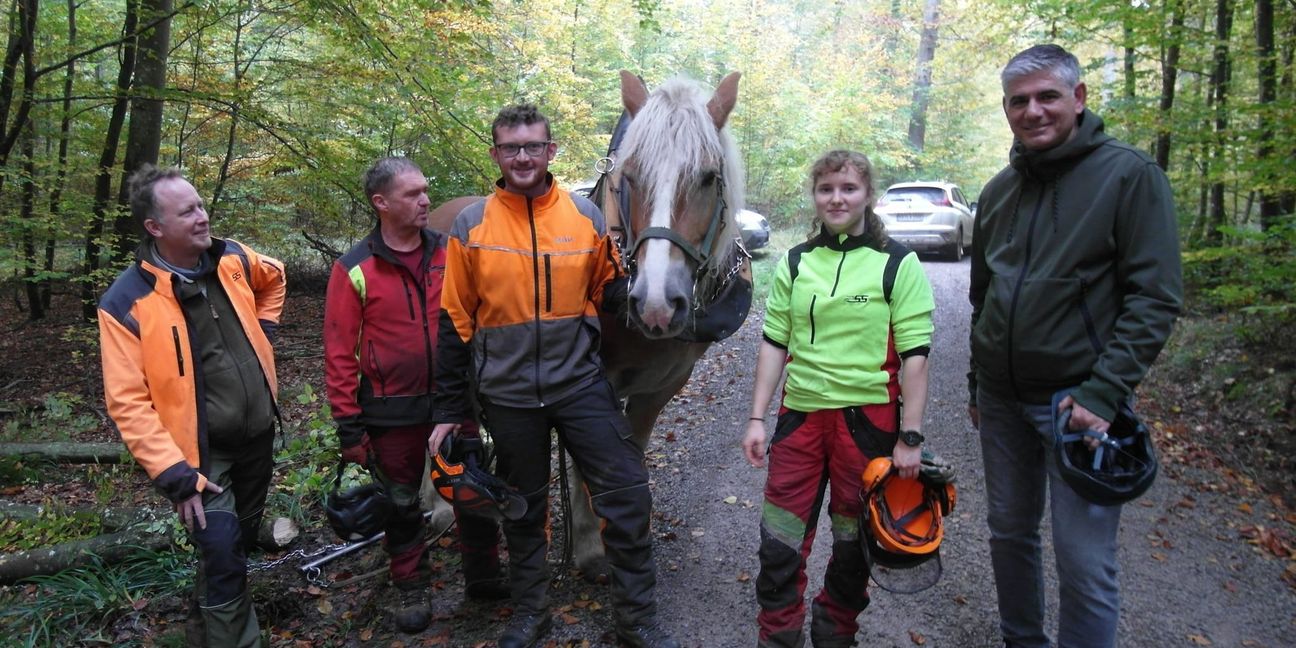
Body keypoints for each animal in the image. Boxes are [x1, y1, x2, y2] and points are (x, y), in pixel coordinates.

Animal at [425, 70, 751, 578]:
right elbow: (583, 464)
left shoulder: (663, 386)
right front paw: (589, 544)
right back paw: (440, 504)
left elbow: (627, 453)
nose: (656, 304)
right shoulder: (594, 380)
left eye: (708, 178)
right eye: (629, 178)